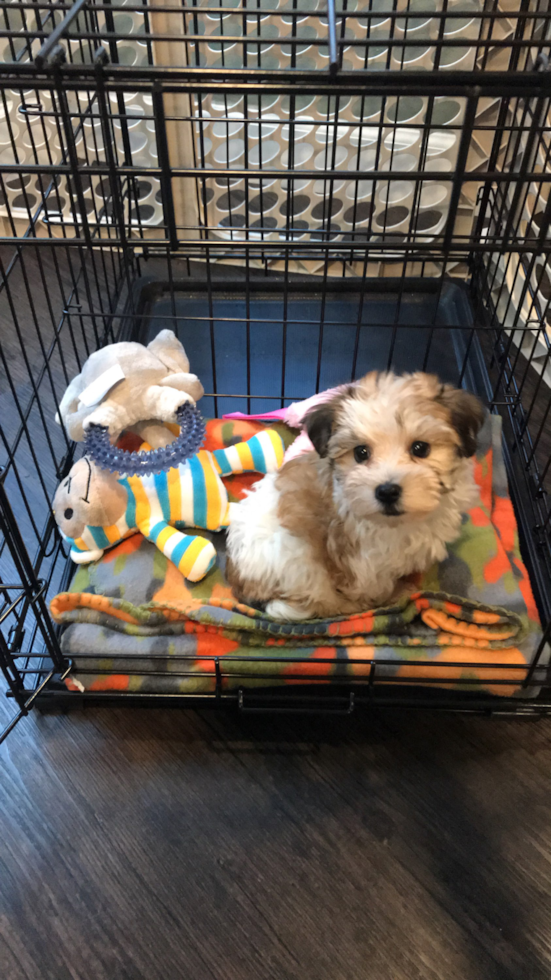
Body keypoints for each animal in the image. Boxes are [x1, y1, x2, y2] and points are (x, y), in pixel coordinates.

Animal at [226, 372, 486, 624]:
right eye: (361, 453)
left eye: (420, 448)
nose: (387, 491)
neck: (399, 523)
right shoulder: (361, 561)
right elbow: (373, 586)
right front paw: (393, 597)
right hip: (298, 565)